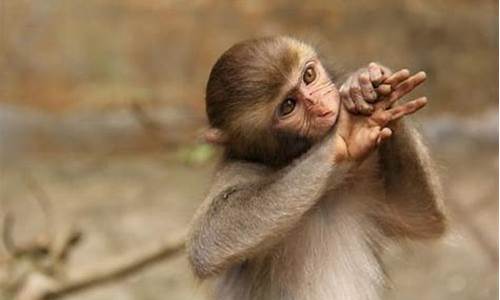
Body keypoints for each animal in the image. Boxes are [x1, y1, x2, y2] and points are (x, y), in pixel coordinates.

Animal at [188, 37, 446, 300]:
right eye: (288, 105)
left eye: (309, 76)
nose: (322, 104)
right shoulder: (236, 169)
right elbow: (208, 240)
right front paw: (347, 132)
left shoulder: (366, 174)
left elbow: (420, 217)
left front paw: (365, 83)